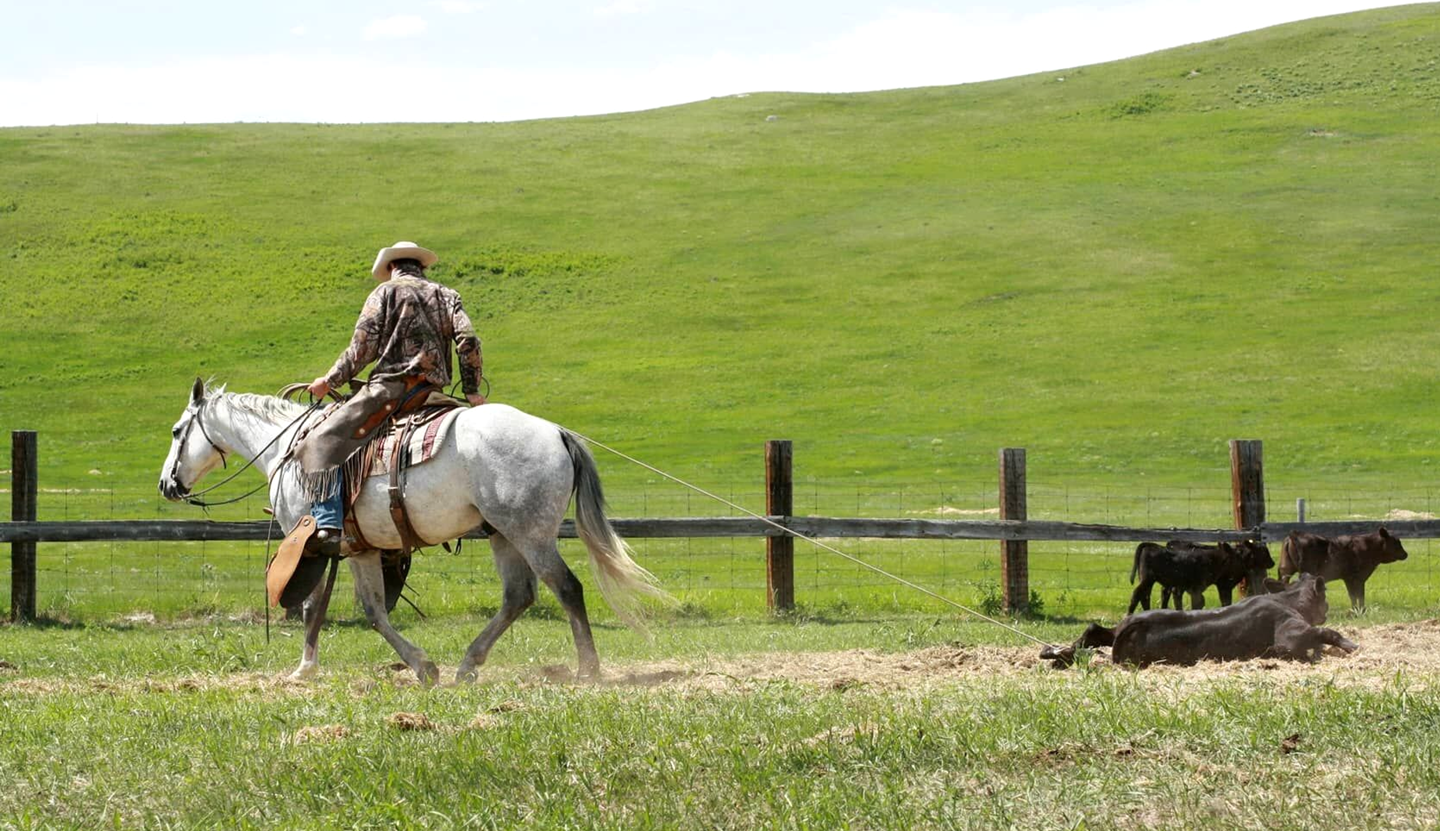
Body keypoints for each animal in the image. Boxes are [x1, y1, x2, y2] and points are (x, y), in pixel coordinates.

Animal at [159, 380, 668, 682]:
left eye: (177, 430)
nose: (167, 484)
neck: (288, 447)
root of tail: (555, 432)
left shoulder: (312, 544)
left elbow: (311, 606)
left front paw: (305, 668)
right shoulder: (360, 550)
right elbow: (371, 611)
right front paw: (423, 666)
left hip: (531, 534)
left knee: (566, 588)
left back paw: (588, 670)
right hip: (503, 535)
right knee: (518, 596)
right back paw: (468, 665)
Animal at [1042, 576, 1353, 668]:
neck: (1287, 601)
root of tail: (1132, 625)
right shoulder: (1290, 633)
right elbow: (1326, 633)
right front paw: (1349, 646)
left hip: (1114, 629)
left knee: (1093, 629)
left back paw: (1058, 655)